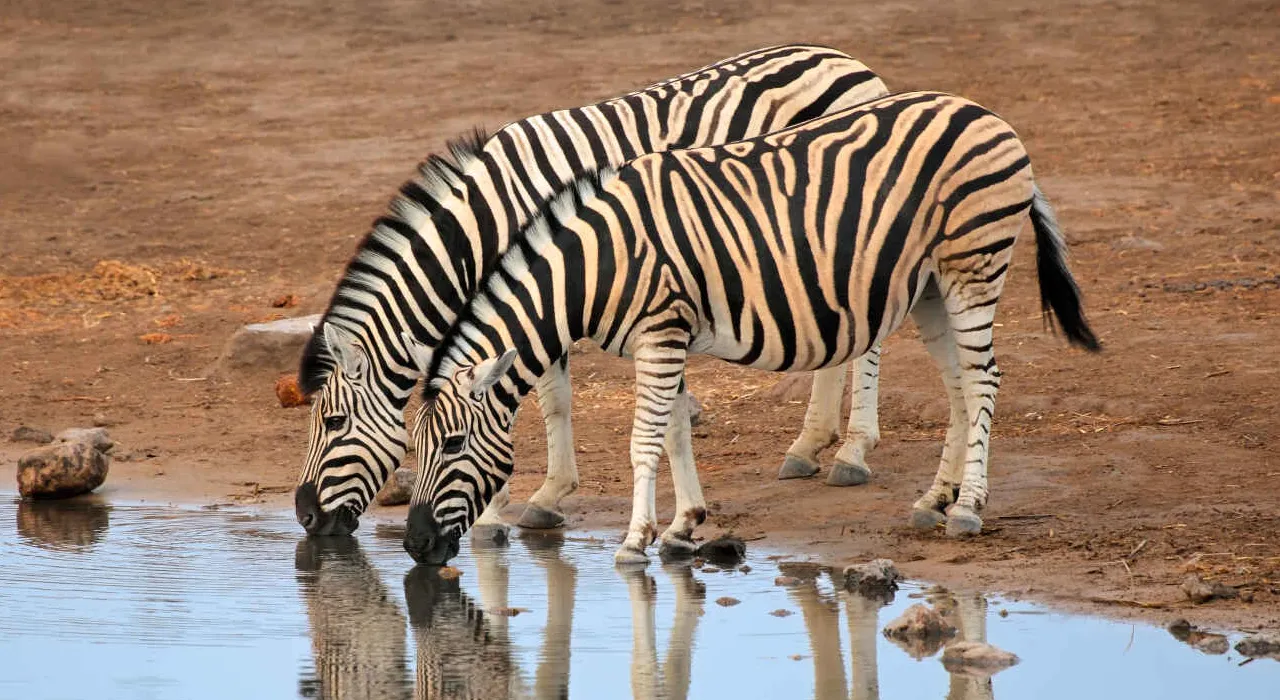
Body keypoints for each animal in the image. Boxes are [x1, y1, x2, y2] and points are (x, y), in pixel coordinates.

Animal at [293, 45, 890, 542]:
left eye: (332, 423)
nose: (303, 515)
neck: (485, 227)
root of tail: (849, 62)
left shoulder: (544, 286)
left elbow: (545, 399)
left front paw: (507, 508)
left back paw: (853, 453)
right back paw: (808, 446)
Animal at [401, 90, 1100, 568]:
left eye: (454, 446)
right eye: (414, 446)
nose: (413, 545)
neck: (598, 262)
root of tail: (985, 112)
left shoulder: (660, 331)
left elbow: (644, 441)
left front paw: (635, 540)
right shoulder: (668, 336)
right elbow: (677, 431)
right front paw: (683, 525)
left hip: (972, 266)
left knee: (983, 382)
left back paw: (969, 510)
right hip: (930, 287)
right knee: (960, 387)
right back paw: (936, 500)